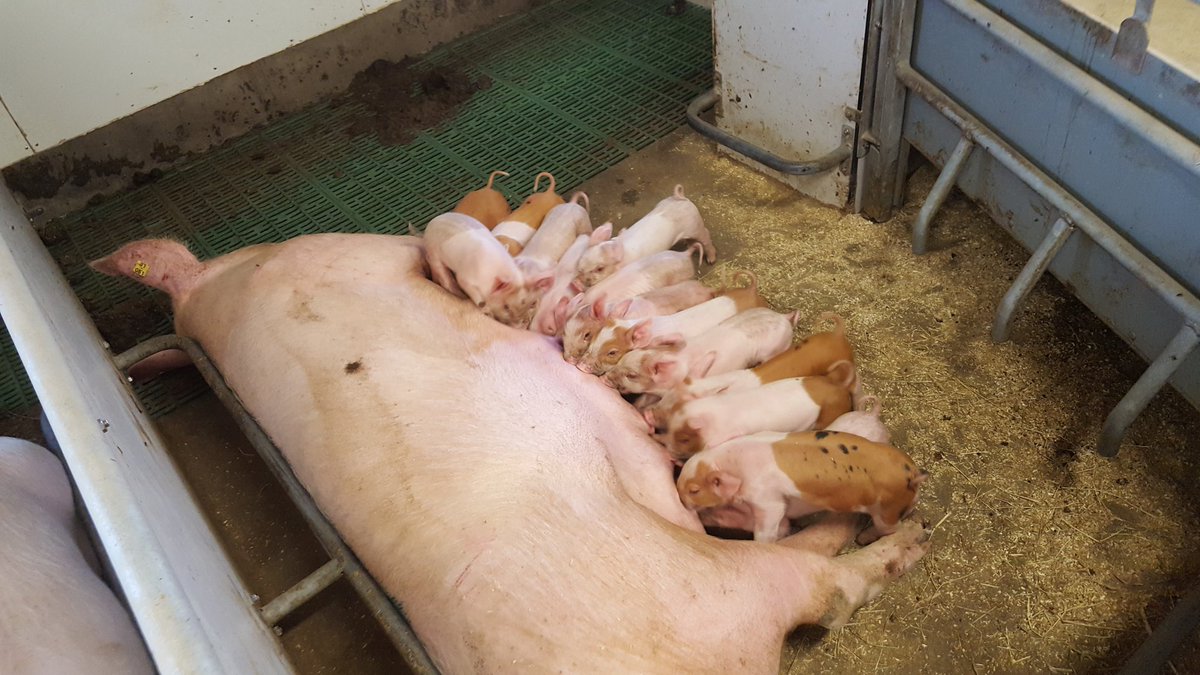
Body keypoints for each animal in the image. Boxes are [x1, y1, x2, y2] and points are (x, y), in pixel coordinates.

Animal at [575, 185, 717, 287]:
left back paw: (711, 260)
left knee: (706, 235)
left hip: (695, 226)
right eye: (581, 260)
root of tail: (679, 197)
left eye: (600, 268)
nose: (581, 282)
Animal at [678, 430, 929, 544]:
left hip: (886, 511)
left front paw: (764, 542)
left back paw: (862, 539)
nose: (681, 499)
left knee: (891, 529)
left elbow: (768, 524)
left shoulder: (767, 500)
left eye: (694, 490)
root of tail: (914, 474)